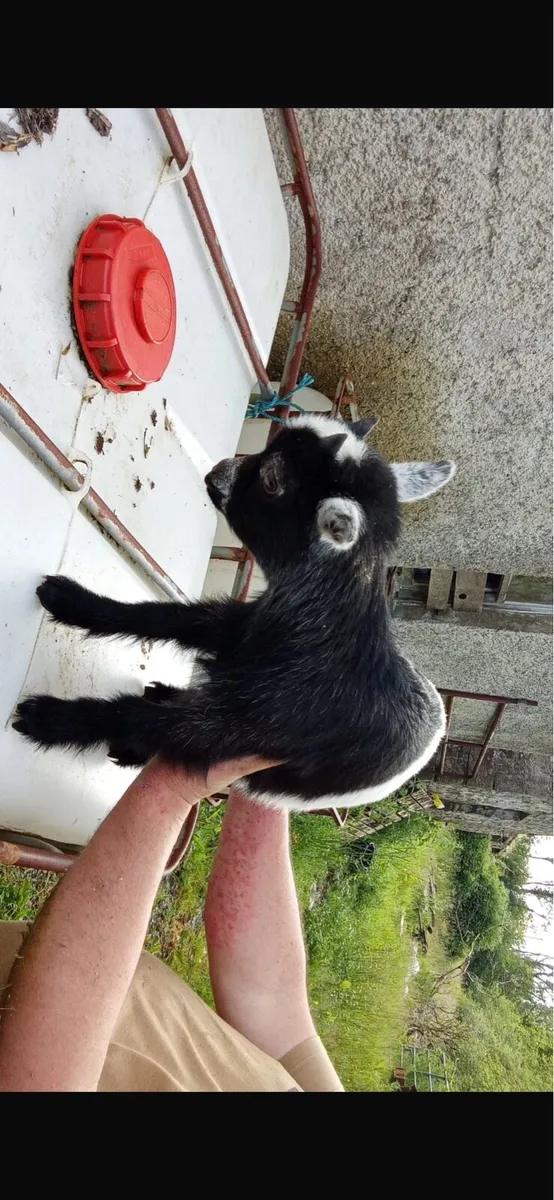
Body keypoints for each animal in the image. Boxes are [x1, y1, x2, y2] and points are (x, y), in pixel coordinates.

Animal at [14, 415, 455, 812]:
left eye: (273, 481)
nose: (216, 473)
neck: (320, 636)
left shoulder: (239, 726)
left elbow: (137, 718)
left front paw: (46, 719)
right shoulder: (237, 627)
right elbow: (163, 618)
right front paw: (69, 600)